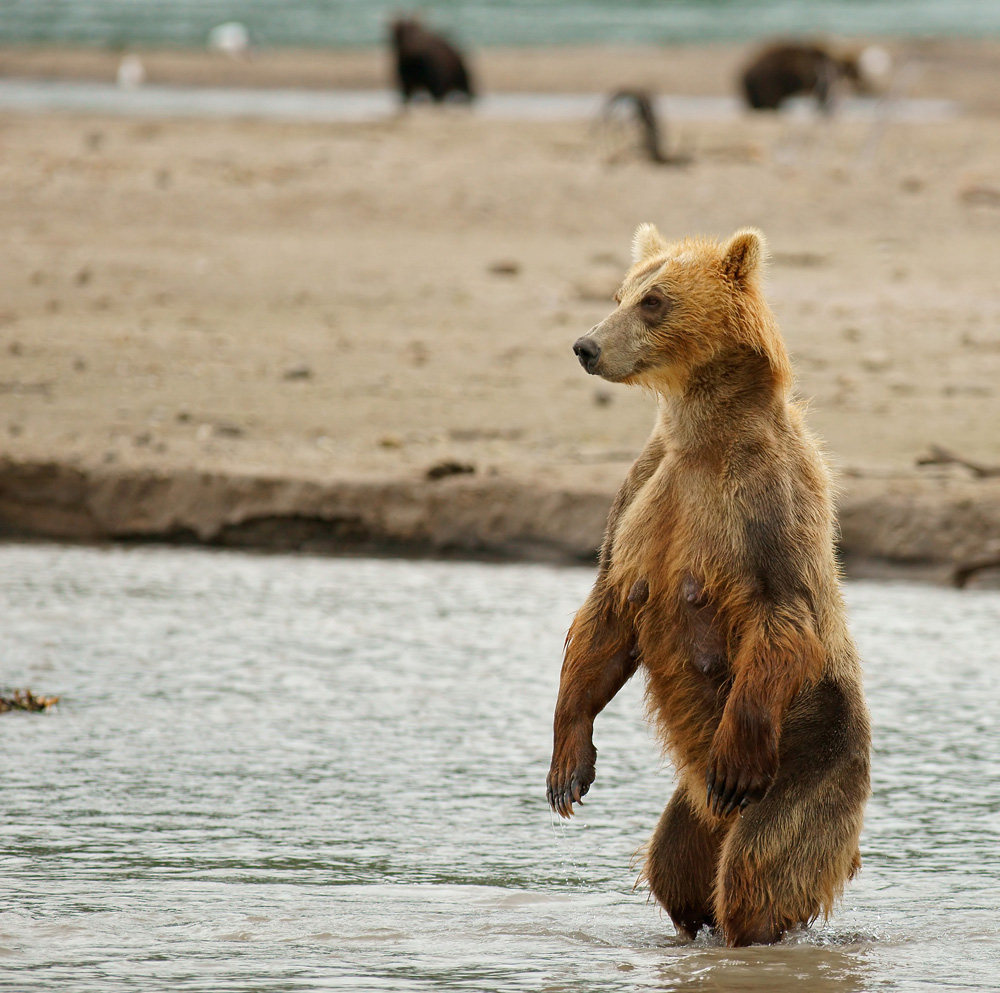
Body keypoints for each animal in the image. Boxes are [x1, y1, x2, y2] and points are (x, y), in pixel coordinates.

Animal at [548, 223, 868, 944]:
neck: (705, 438)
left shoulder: (764, 503)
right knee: (675, 865)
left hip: (813, 755)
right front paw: (567, 771)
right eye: (621, 292)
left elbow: (783, 614)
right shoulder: (644, 492)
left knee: (758, 869)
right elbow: (603, 615)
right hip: (690, 808)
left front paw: (734, 760)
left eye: (655, 301)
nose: (586, 345)